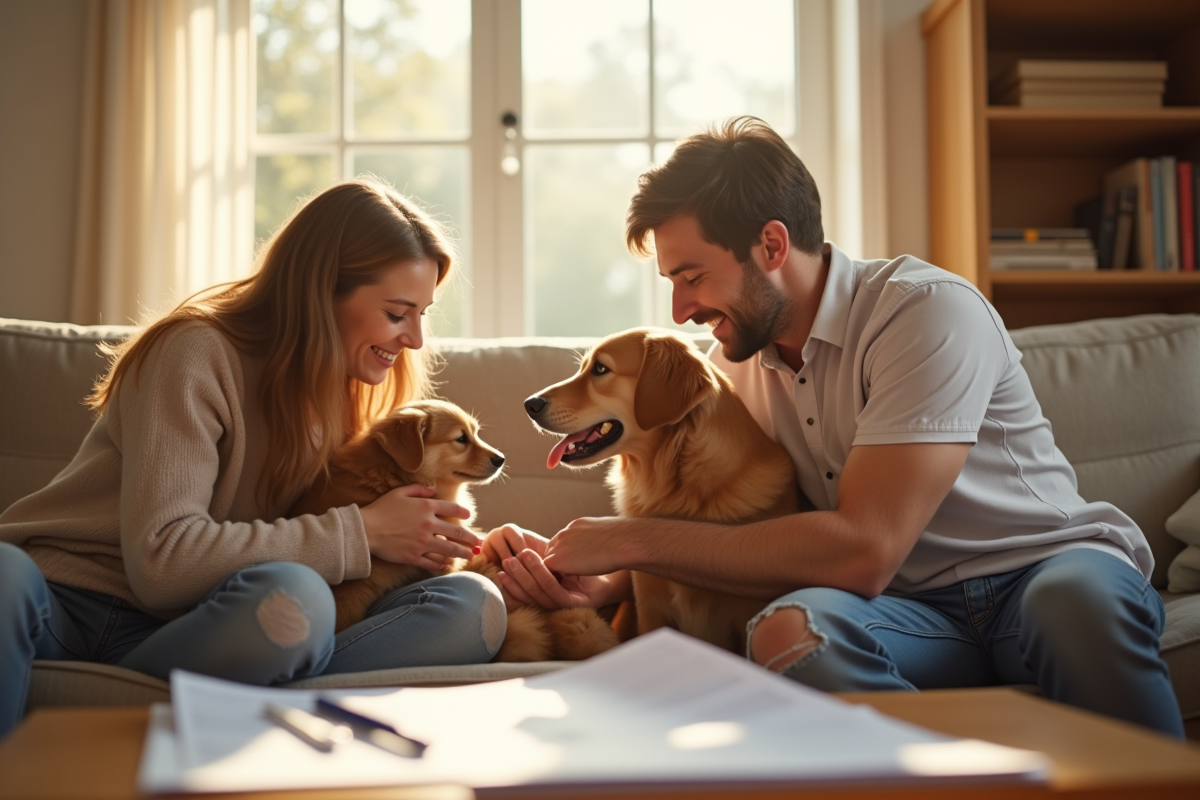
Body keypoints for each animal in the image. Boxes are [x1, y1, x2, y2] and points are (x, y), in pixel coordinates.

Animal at [523, 328, 796, 652]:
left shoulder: (745, 617)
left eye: (600, 369)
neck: (676, 485)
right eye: (584, 367)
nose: (529, 404)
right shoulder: (649, 608)